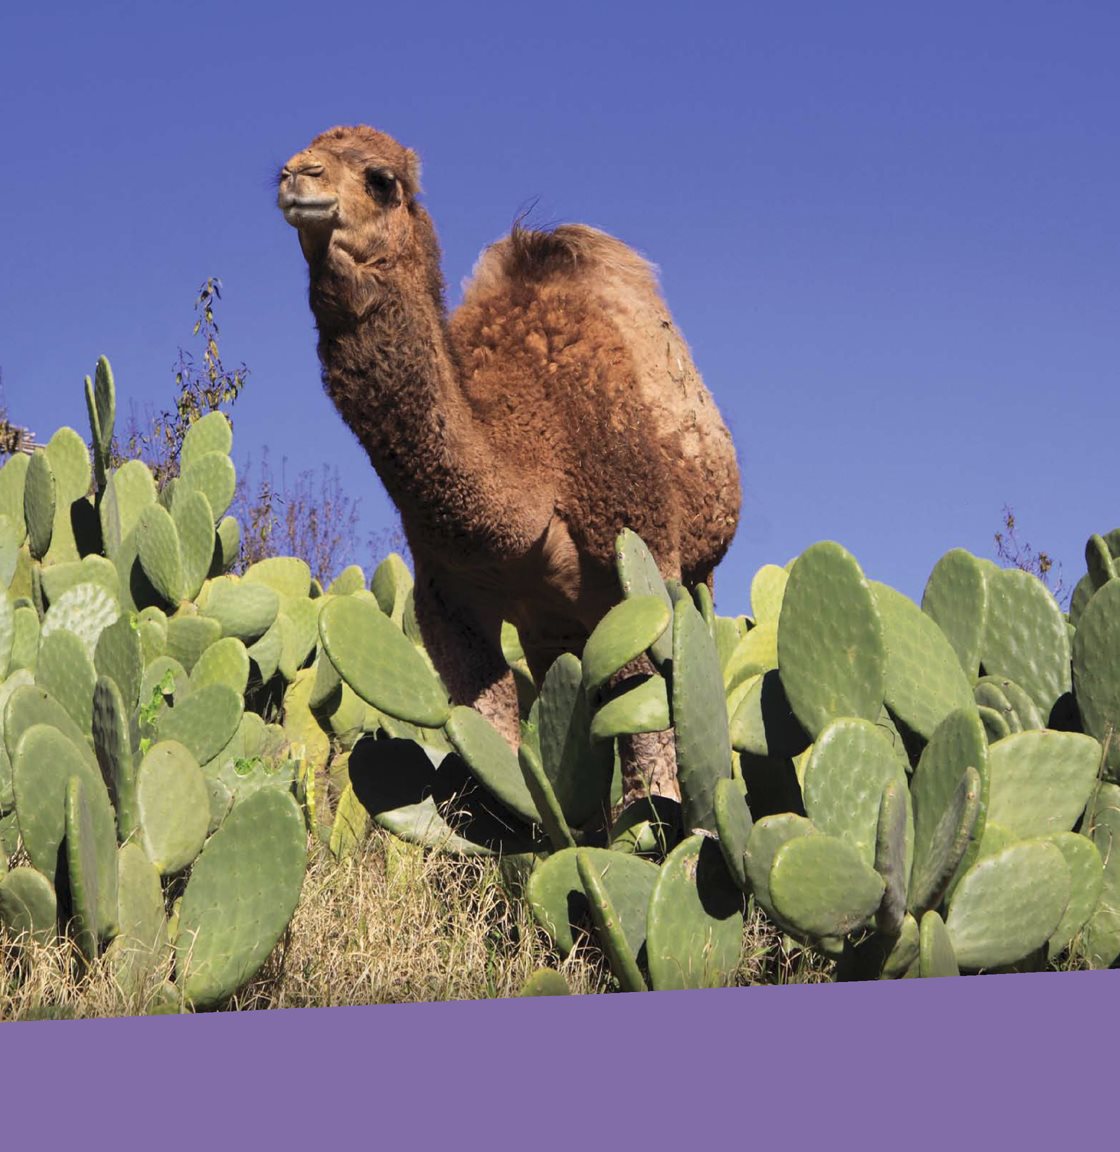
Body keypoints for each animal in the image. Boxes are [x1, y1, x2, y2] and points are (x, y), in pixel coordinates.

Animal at [275, 123, 737, 811]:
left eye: (381, 181)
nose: (295, 175)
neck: (532, 468)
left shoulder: (634, 568)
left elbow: (647, 736)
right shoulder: (447, 600)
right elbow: (491, 744)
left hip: (697, 571)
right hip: (553, 630)